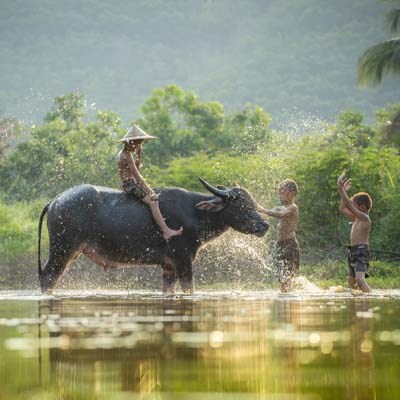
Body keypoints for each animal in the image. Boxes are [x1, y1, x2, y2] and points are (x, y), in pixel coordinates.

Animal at [38, 179, 268, 294]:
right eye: (241, 205)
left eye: (251, 202)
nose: (264, 225)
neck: (194, 213)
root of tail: (55, 201)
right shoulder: (183, 261)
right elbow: (189, 289)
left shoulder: (169, 267)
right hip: (62, 250)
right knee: (48, 277)